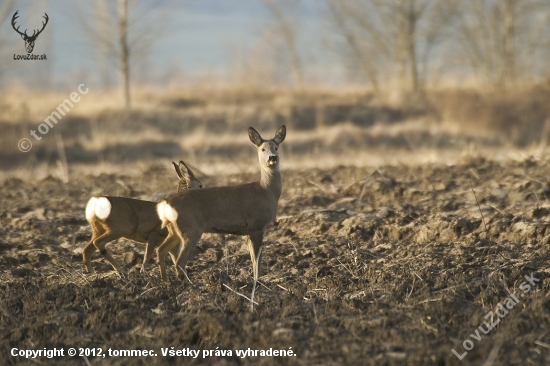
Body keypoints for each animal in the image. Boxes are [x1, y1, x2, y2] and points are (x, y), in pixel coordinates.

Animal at [155, 125, 284, 300]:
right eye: (262, 149)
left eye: (276, 147)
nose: (272, 158)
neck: (266, 191)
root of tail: (165, 204)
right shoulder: (257, 226)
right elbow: (257, 259)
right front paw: (257, 282)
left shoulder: (249, 231)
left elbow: (253, 257)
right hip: (191, 229)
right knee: (179, 262)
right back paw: (192, 287)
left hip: (175, 230)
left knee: (161, 250)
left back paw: (166, 283)